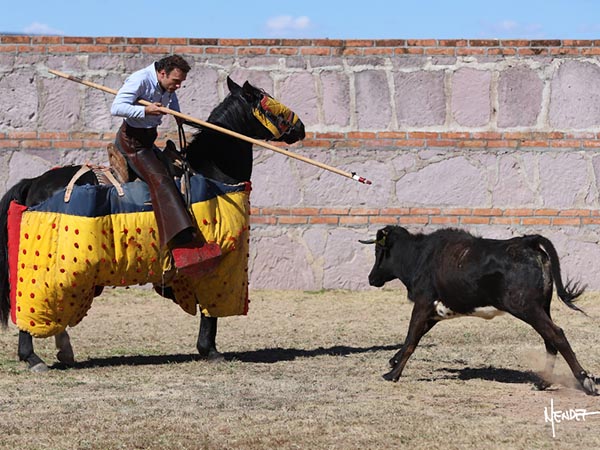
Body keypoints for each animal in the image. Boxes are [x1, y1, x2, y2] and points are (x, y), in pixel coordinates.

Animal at [0, 76, 308, 370]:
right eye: (266, 101)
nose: (300, 128)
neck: (212, 168)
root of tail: (33, 183)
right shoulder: (217, 264)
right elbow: (210, 311)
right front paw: (210, 350)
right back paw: (32, 357)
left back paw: (63, 351)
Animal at [360, 227, 596, 396]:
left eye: (378, 251)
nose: (371, 278)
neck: (419, 256)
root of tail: (527, 241)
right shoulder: (434, 311)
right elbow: (414, 336)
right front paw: (393, 361)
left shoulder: (423, 303)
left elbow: (411, 338)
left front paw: (392, 374)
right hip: (541, 307)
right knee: (550, 340)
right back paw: (543, 382)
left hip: (526, 308)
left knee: (556, 335)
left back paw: (585, 381)